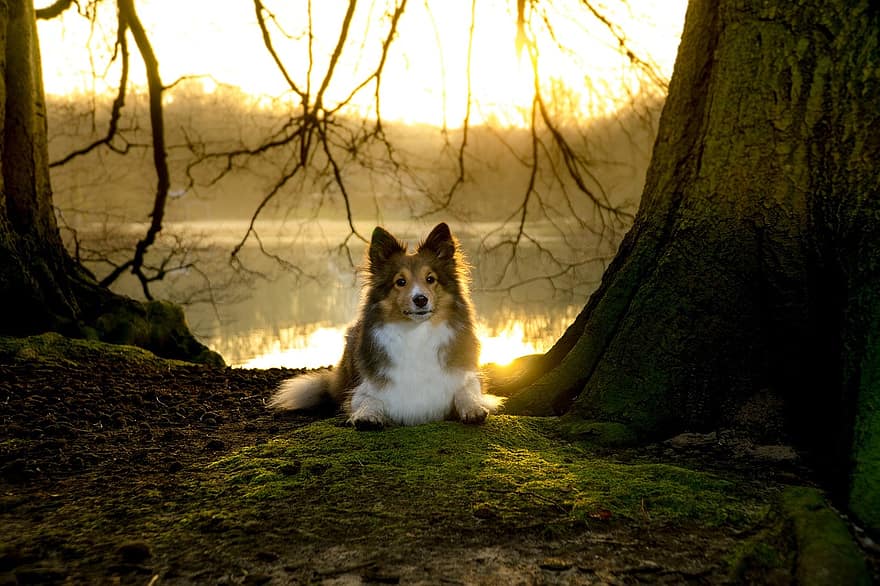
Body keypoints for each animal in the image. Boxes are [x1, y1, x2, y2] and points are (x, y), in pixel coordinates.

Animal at [266, 221, 502, 426]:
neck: (417, 334)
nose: (420, 299)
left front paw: (473, 409)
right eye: (400, 282)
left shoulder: (465, 377)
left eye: (430, 279)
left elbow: (467, 391)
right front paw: (367, 416)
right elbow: (368, 400)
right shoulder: (363, 389)